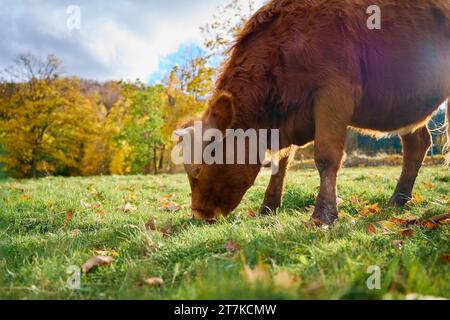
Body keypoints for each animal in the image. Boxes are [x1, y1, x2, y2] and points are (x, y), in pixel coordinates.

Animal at [179, 0, 450, 225]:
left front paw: (323, 214)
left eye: (199, 169)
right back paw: (397, 200)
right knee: (417, 143)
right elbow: (281, 161)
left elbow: (326, 157)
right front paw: (268, 207)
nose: (198, 214)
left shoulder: (333, 96)